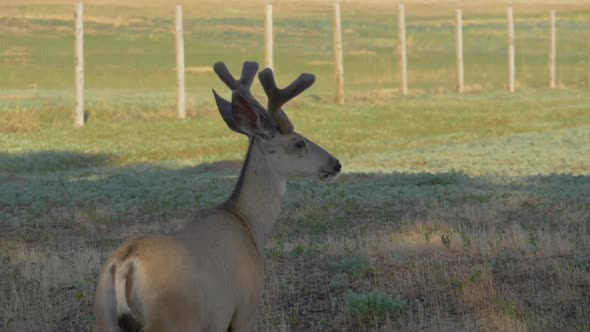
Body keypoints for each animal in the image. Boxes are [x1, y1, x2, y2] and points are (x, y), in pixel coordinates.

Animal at [93, 61, 342, 330]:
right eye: (298, 142)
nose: (336, 163)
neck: (248, 224)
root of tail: (125, 265)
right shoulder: (245, 305)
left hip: (104, 317)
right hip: (174, 318)